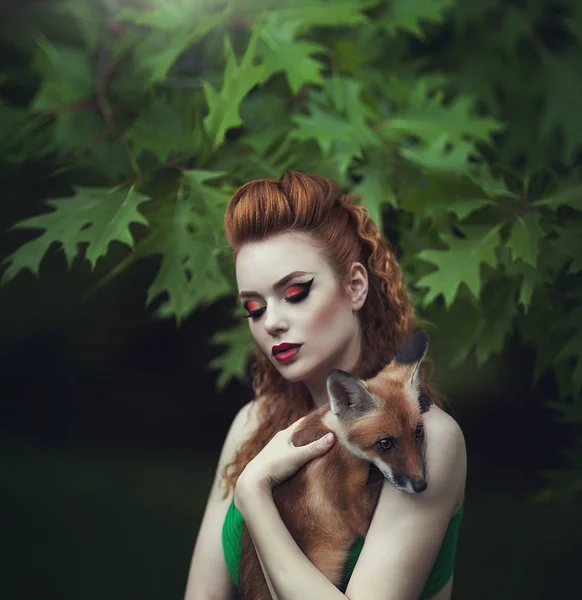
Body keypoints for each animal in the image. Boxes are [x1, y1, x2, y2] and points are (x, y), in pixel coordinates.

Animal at [237, 330, 434, 596]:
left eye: (418, 432)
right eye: (385, 443)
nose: (421, 485)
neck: (335, 436)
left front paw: (423, 398)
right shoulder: (354, 509)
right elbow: (374, 482)